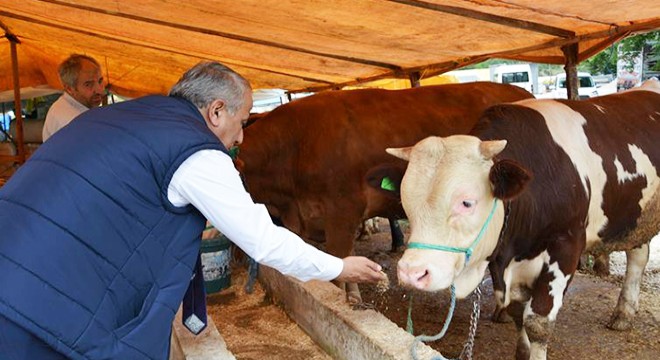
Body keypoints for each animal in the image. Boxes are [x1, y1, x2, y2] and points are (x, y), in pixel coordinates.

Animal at [386, 79, 660, 360]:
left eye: (466, 202)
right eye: (406, 203)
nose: (411, 273)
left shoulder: (565, 247)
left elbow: (537, 322)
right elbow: (518, 315)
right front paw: (521, 350)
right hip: (637, 215)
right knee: (638, 255)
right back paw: (623, 314)